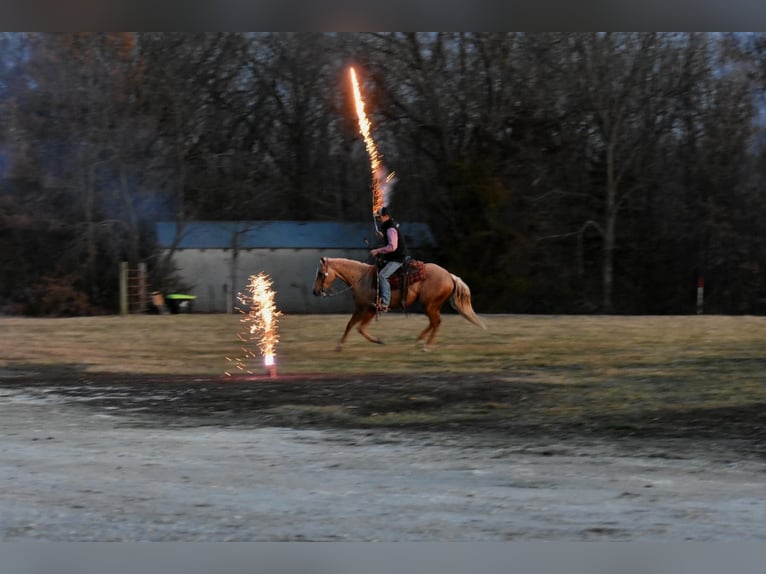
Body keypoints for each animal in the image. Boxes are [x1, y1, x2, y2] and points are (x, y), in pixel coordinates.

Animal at [312, 258, 486, 352]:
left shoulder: (370, 309)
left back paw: (426, 346)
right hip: (431, 306)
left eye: (320, 273)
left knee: (436, 321)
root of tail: (449, 276)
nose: (315, 292)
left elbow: (360, 328)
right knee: (434, 322)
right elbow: (349, 325)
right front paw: (339, 346)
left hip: (430, 305)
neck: (361, 278)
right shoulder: (360, 308)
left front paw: (378, 340)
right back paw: (420, 340)